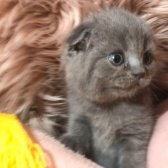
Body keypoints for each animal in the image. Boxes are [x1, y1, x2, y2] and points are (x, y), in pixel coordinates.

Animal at [60, 9, 156, 168]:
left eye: (147, 58)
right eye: (117, 58)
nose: (140, 73)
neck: (108, 107)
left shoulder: (136, 130)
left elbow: (133, 156)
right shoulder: (79, 113)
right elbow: (77, 128)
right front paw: (71, 142)